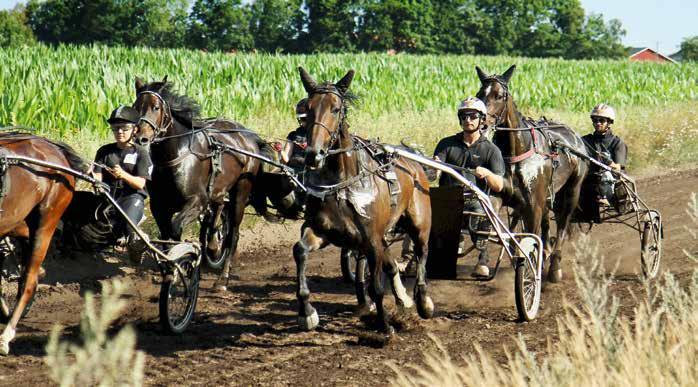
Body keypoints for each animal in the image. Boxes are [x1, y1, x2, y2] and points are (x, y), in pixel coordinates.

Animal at [132, 78, 274, 292]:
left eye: (156, 107)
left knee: (233, 235)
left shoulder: (196, 201)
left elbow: (175, 229)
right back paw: (213, 245)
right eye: (135, 107)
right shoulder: (159, 206)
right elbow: (166, 235)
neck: (174, 156)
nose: (140, 137)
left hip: (241, 190)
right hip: (218, 189)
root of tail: (251, 137)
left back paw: (222, 279)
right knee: (218, 209)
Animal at [290, 68, 432, 334]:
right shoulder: (325, 232)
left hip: (419, 223)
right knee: (392, 264)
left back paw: (423, 301)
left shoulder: (371, 239)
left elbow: (376, 286)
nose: (313, 154)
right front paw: (307, 312)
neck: (343, 184)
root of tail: (413, 161)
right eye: (309, 110)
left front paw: (384, 326)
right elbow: (300, 250)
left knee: (421, 254)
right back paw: (403, 298)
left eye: (336, 108)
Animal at [474, 64, 588, 282]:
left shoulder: (533, 203)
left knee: (562, 223)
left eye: (499, 95)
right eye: (479, 94)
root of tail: (575, 138)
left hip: (572, 191)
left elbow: (532, 234)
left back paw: (554, 266)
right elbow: (491, 223)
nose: (482, 124)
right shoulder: (501, 194)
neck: (517, 152)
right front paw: (482, 263)